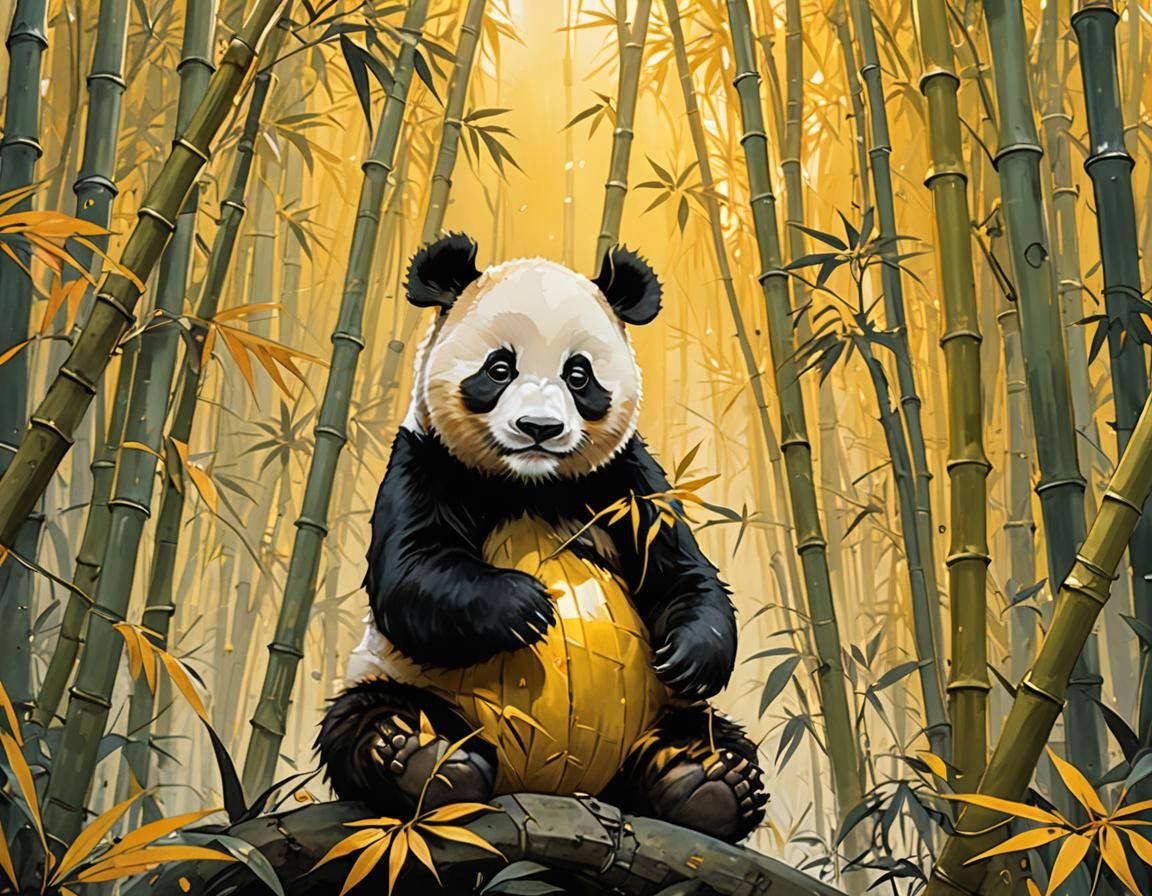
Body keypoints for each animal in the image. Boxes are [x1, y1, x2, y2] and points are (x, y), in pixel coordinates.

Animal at [316, 234, 768, 843]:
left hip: (656, 718)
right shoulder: (424, 462)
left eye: (578, 376)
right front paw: (527, 605)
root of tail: (544, 782)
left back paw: (708, 783)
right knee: (364, 717)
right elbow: (411, 575)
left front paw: (689, 655)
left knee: (706, 733)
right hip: (401, 678)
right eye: (499, 368)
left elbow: (681, 570)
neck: (529, 484)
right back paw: (421, 760)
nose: (539, 429)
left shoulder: (626, 481)